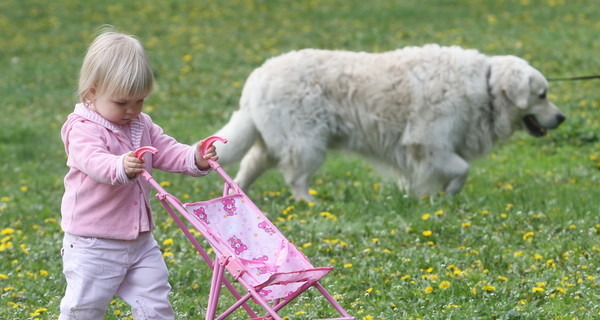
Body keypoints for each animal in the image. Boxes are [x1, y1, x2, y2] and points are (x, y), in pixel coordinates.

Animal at [213, 44, 564, 200]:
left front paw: (422, 196)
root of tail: (258, 76)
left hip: (271, 142)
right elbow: (462, 169)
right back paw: (308, 203)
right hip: (307, 143)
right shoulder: (429, 144)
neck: (486, 86)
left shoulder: (424, 151)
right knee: (295, 178)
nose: (561, 117)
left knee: (248, 167)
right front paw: (447, 194)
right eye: (542, 95)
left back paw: (239, 197)